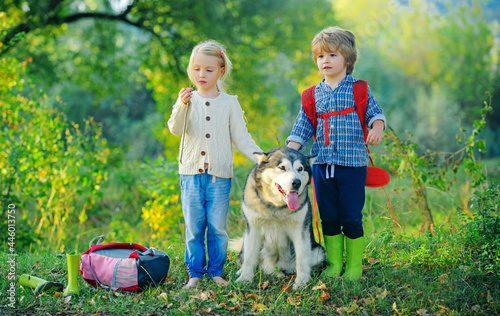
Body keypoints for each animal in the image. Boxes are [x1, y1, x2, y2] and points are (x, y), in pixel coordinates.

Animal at [232, 147, 326, 290]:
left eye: (300, 168)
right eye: (282, 167)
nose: (296, 183)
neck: (275, 206)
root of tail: (274, 267)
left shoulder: (300, 231)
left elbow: (302, 259)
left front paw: (301, 282)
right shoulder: (253, 230)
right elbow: (249, 258)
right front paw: (245, 279)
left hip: (318, 252)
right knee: (246, 257)